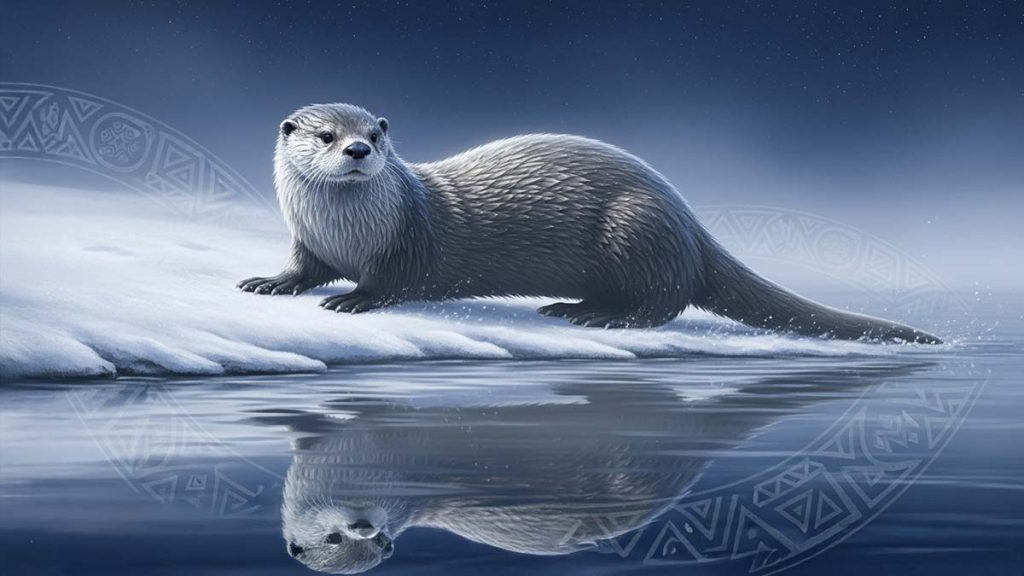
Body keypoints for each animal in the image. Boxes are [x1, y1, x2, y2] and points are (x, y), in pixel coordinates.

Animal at [238, 103, 939, 343]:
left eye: (376, 133)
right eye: (326, 135)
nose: (359, 151)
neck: (346, 233)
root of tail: (690, 223)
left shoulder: (407, 243)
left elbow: (392, 283)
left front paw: (354, 300)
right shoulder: (307, 242)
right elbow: (302, 269)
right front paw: (271, 283)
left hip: (638, 229)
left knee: (664, 303)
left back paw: (602, 317)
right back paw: (568, 307)